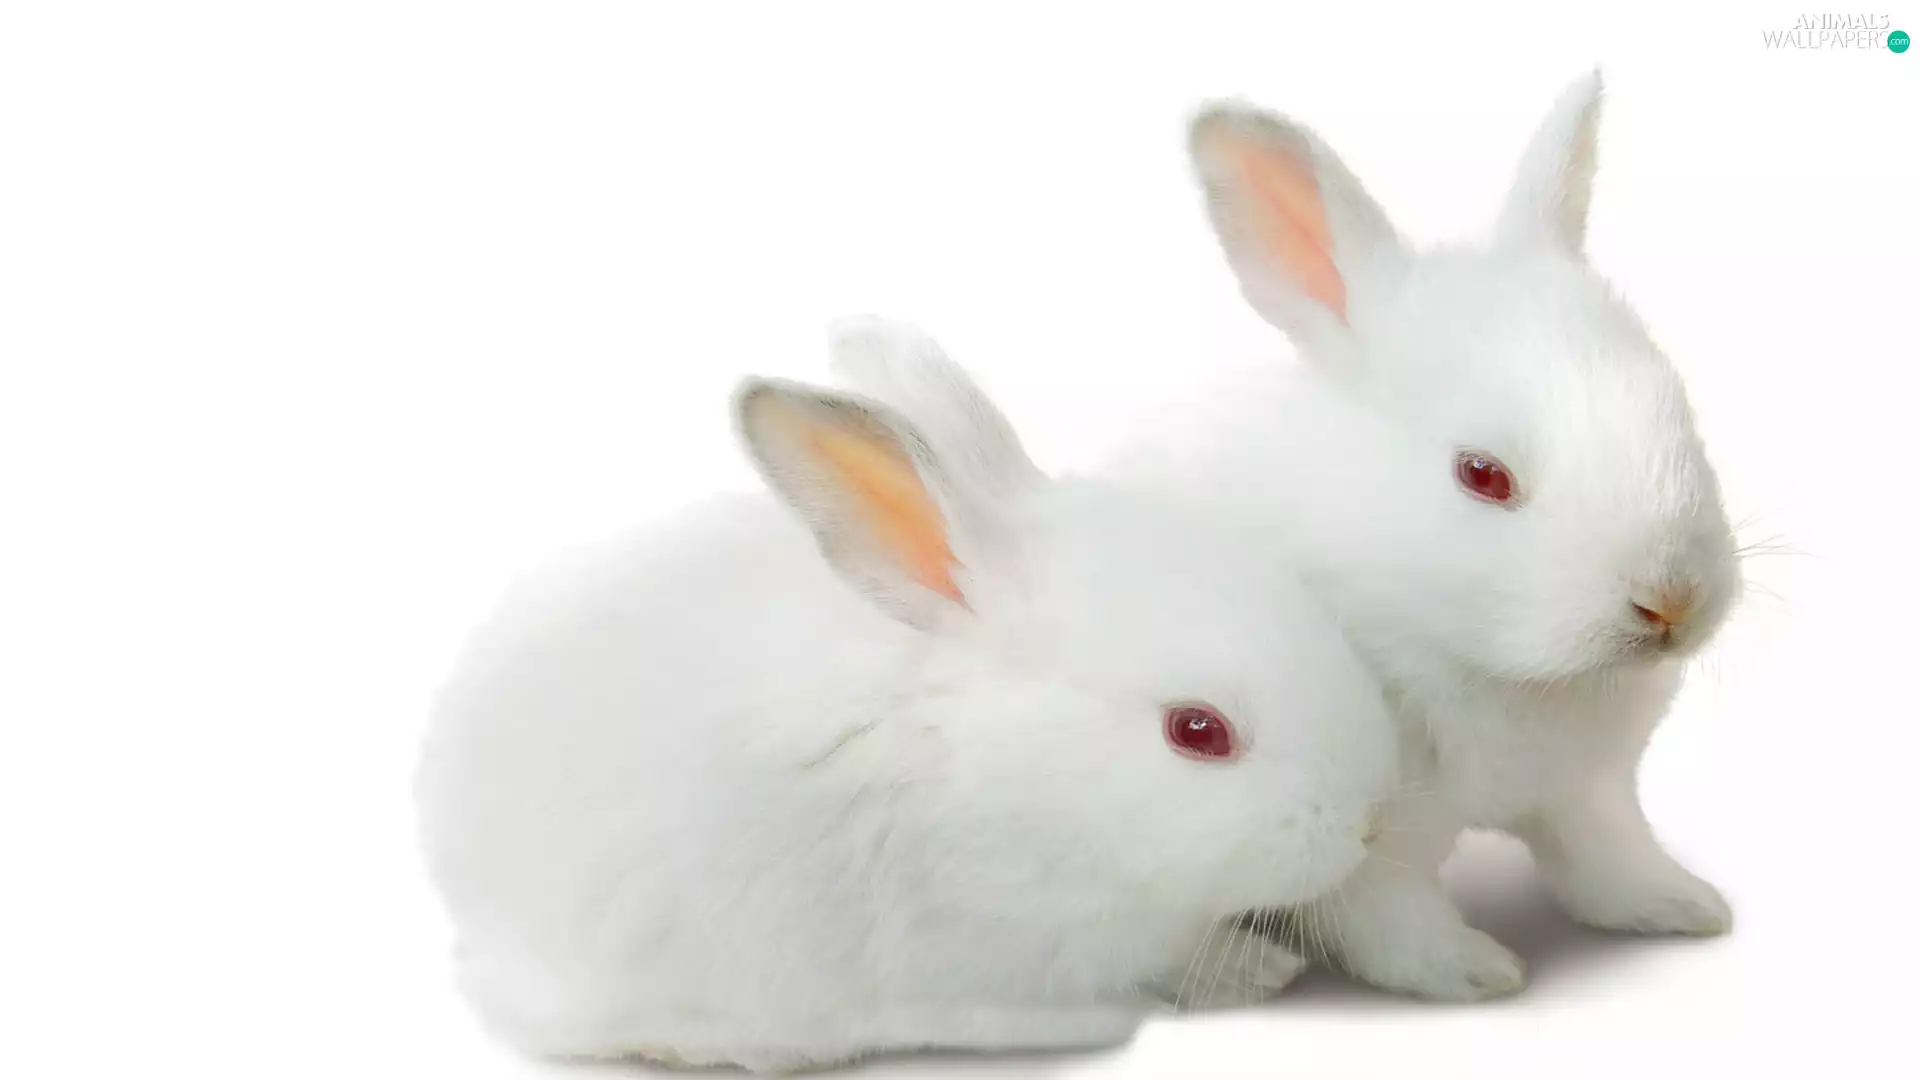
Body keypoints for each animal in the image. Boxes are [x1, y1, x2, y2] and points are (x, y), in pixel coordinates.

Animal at [1071, 70, 1742, 1001]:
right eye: (1482, 474)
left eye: (1677, 408)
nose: (1670, 600)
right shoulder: (1367, 845)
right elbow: (1392, 922)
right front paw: (1479, 974)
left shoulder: (1587, 791)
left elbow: (1606, 860)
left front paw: (1685, 908)